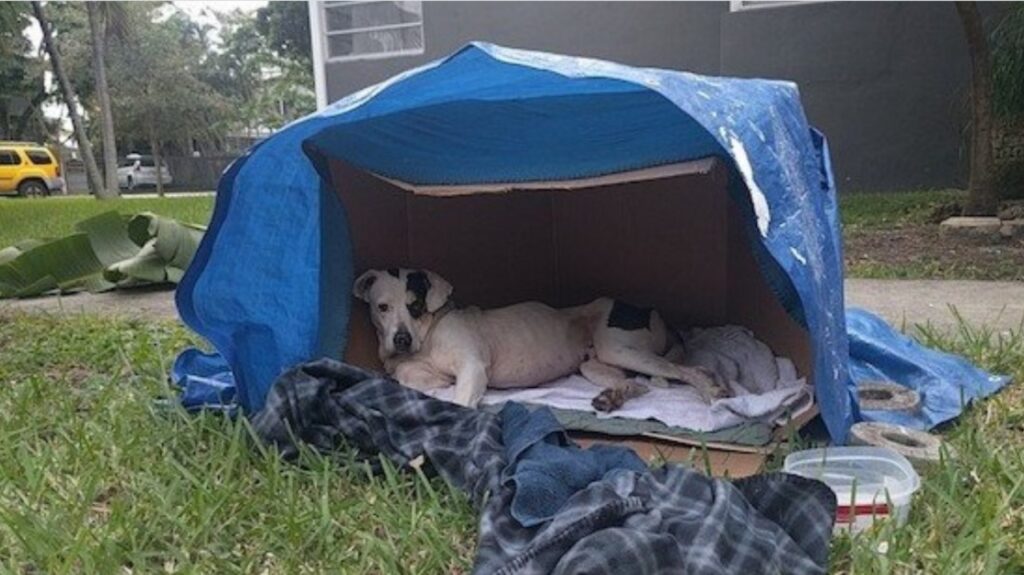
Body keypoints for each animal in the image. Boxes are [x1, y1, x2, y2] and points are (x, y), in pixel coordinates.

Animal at [356, 268, 724, 407]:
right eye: (382, 307)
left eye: (415, 305)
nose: (401, 340)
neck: (429, 335)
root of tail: (650, 309)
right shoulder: (415, 369)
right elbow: (409, 375)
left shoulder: (473, 367)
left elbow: (460, 399)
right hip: (595, 365)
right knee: (638, 384)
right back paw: (614, 396)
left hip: (619, 348)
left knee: (689, 371)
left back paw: (711, 390)